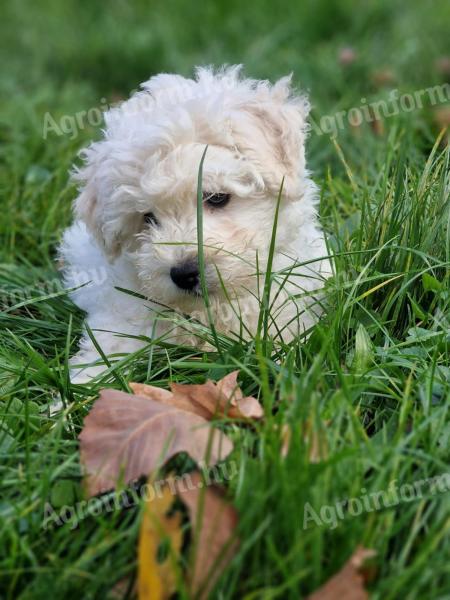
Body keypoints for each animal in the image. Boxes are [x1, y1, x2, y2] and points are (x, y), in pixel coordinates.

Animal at [59, 65, 330, 382]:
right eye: (148, 218)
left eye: (216, 197)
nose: (185, 273)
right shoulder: (123, 311)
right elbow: (110, 347)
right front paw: (81, 386)